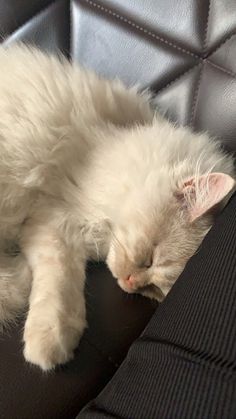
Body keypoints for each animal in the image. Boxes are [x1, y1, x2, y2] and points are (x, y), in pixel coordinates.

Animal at [0, 44, 234, 370]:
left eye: (154, 290)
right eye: (149, 259)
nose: (130, 283)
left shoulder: (50, 222)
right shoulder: (53, 217)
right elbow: (61, 281)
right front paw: (51, 342)